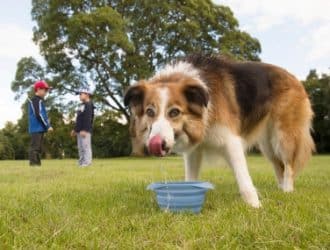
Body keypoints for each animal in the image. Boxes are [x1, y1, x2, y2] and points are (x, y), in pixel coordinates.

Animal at [124, 54, 314, 207]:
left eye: (174, 112)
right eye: (150, 112)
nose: (156, 144)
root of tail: (294, 78)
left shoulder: (231, 142)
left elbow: (244, 179)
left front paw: (255, 206)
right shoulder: (194, 151)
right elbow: (190, 179)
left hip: (282, 137)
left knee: (288, 165)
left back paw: (287, 191)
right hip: (267, 143)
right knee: (278, 165)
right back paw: (280, 189)